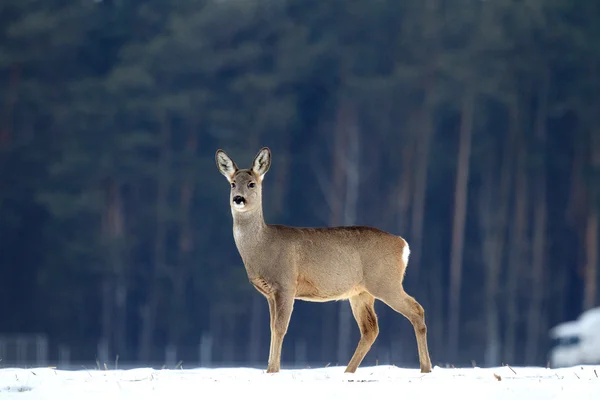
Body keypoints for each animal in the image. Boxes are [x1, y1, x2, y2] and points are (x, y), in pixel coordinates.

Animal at [216, 147, 432, 376]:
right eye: (232, 183)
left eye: (252, 183)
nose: (238, 199)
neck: (263, 247)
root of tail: (403, 244)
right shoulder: (269, 293)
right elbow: (272, 328)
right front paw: (269, 369)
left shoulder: (286, 284)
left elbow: (280, 328)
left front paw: (273, 370)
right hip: (360, 292)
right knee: (370, 329)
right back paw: (348, 371)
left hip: (385, 282)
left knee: (416, 310)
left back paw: (425, 368)